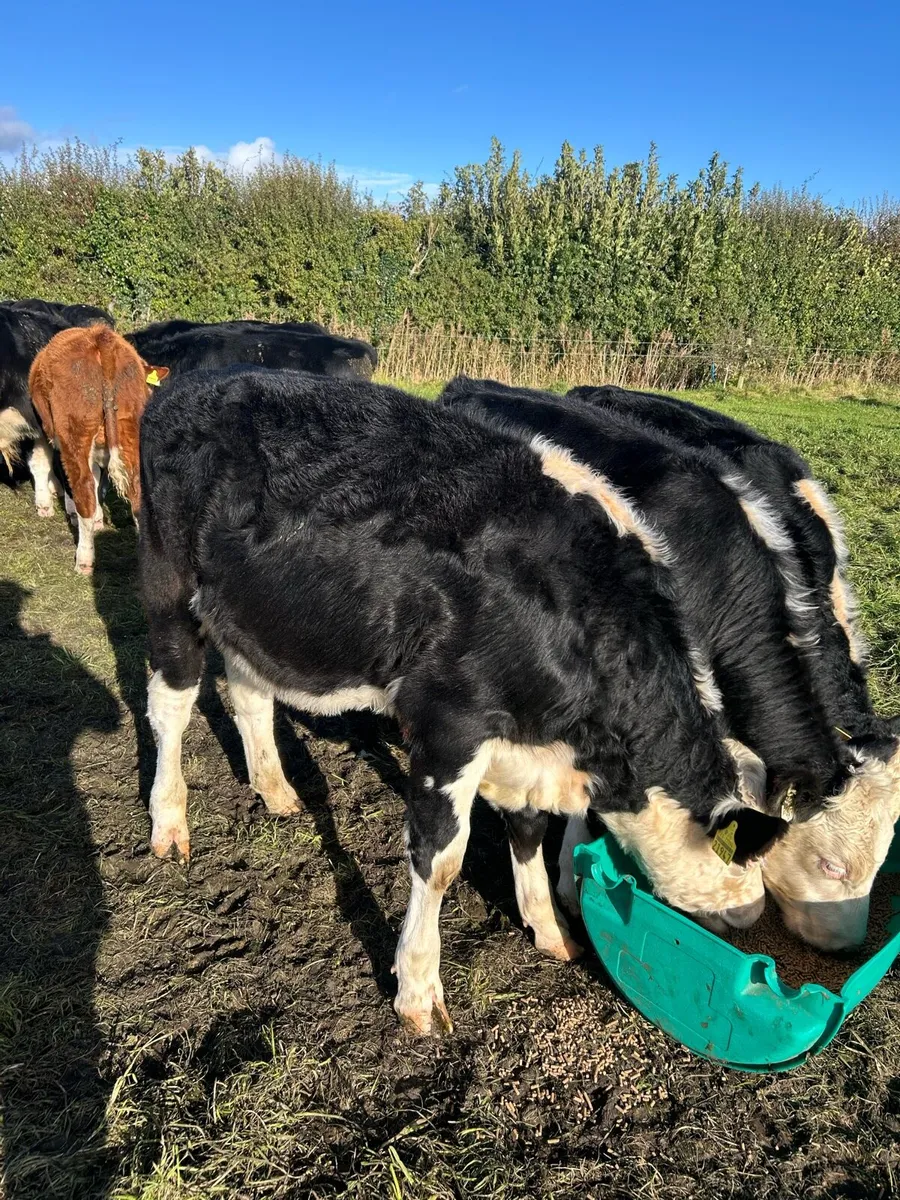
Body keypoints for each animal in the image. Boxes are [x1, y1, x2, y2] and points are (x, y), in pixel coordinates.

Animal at [28, 325, 168, 573]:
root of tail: (100, 336)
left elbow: (41, 463)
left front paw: (45, 505)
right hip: (130, 431)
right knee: (136, 493)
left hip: (75, 435)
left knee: (84, 492)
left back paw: (84, 559)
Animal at [138, 368, 794, 1034]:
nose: (749, 923)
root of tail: (198, 381)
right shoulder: (448, 723)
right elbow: (441, 860)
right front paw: (418, 990)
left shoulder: (527, 748)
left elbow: (530, 831)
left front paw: (550, 930)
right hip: (168, 586)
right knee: (170, 705)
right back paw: (170, 822)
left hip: (254, 612)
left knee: (250, 693)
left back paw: (276, 790)